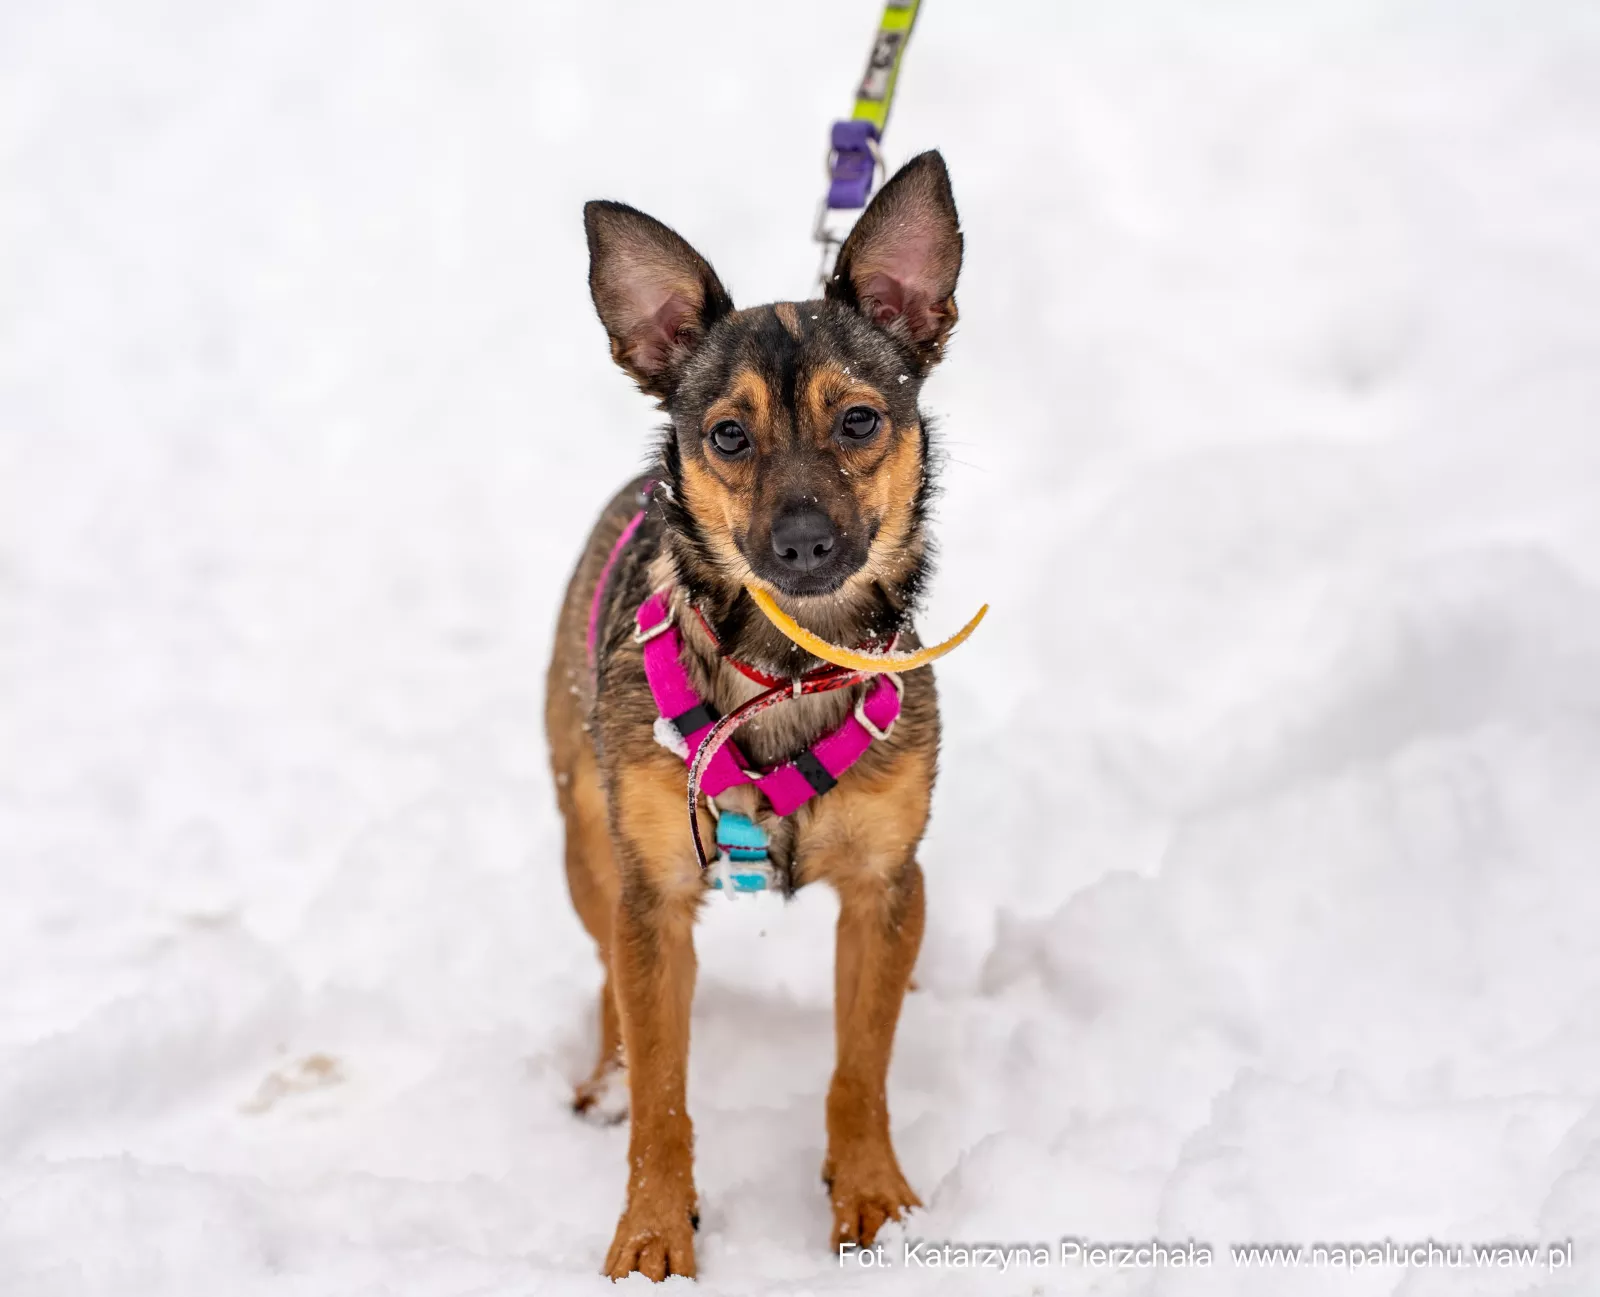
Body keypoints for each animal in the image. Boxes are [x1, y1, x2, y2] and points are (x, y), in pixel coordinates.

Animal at [545, 150, 962, 1282]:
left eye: (859, 419)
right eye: (727, 434)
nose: (805, 542)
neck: (785, 665)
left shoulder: (885, 886)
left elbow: (859, 1068)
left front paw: (873, 1201)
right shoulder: (653, 898)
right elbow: (663, 1095)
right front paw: (653, 1231)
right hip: (588, 842)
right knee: (607, 982)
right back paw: (601, 1079)